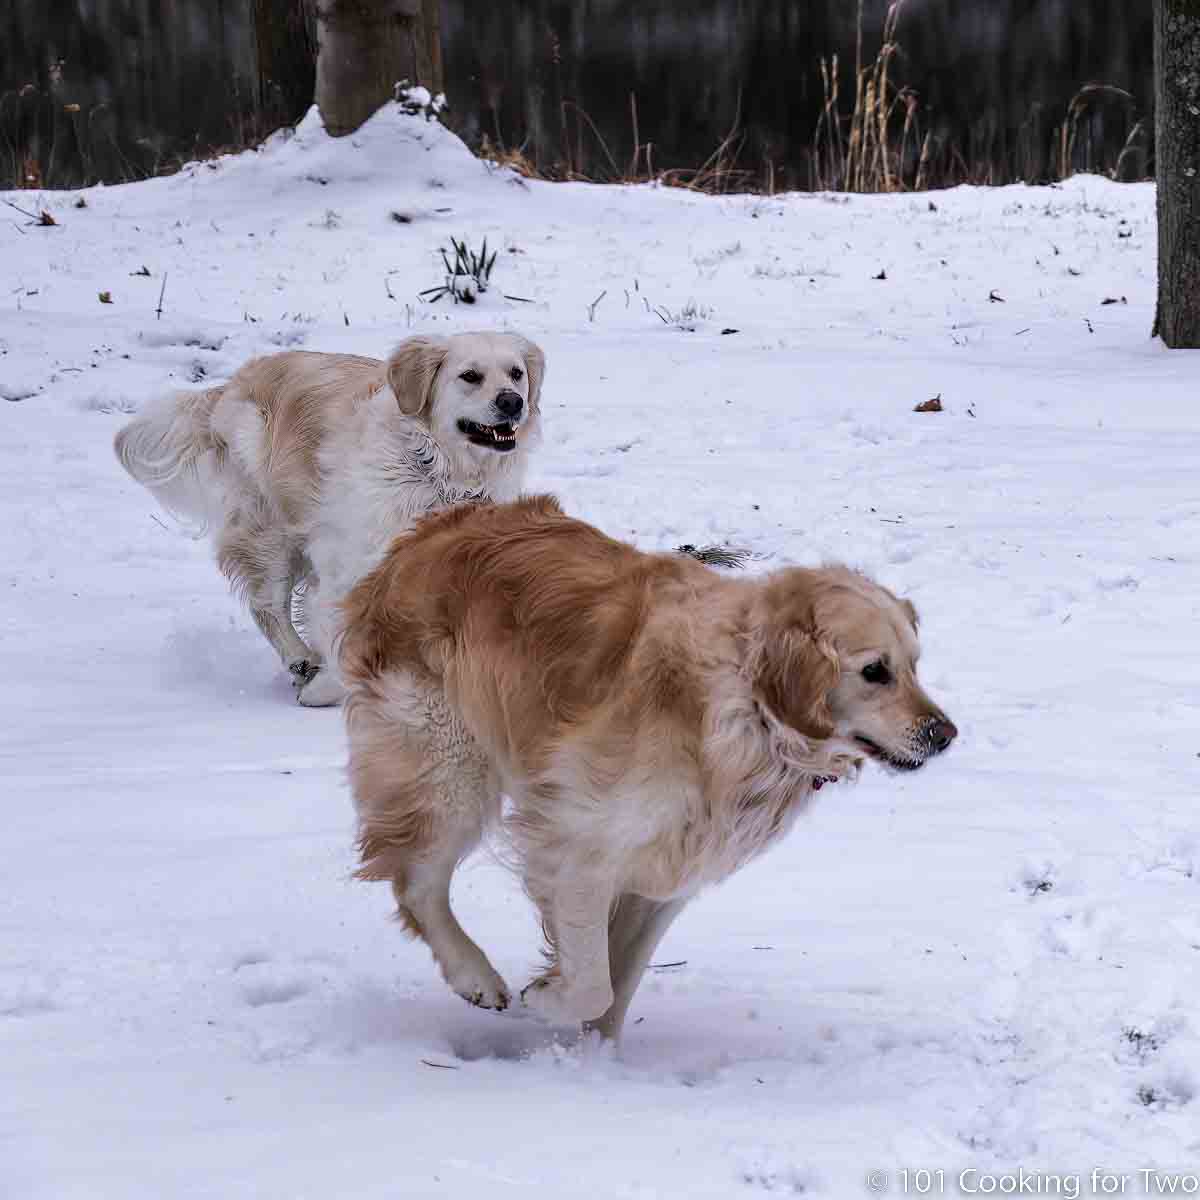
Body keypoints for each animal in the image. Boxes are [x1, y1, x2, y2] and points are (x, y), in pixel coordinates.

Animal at [114, 331, 547, 700]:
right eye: (470, 376)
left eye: (516, 373)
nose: (512, 401)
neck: (441, 471)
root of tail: (235, 381)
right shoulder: (353, 556)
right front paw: (328, 689)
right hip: (270, 531)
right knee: (267, 604)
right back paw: (302, 660)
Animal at [338, 496, 955, 1041]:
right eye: (875, 671)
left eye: (915, 666)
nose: (945, 735)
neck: (744, 703)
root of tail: (426, 534)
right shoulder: (576, 842)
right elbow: (593, 985)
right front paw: (546, 1000)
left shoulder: (666, 875)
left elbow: (619, 985)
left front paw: (593, 1063)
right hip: (449, 766)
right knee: (417, 882)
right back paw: (476, 977)